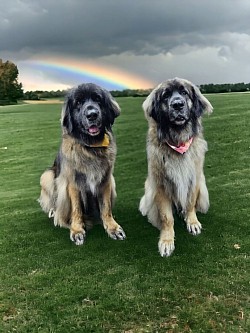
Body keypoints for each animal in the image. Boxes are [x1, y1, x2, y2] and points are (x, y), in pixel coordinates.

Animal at [38, 82, 126, 244]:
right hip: (47, 176)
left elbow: (106, 207)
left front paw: (112, 227)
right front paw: (77, 230)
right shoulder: (73, 183)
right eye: (78, 103)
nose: (92, 114)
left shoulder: (106, 180)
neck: (90, 147)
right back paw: (53, 211)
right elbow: (76, 208)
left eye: (97, 99)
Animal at [139, 78, 213, 256]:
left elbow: (190, 204)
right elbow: (167, 217)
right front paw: (167, 240)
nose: (177, 105)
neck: (178, 140)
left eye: (184, 92)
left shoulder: (194, 179)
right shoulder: (161, 186)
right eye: (166, 95)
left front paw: (192, 222)